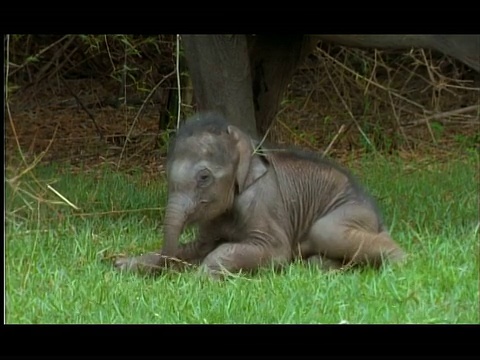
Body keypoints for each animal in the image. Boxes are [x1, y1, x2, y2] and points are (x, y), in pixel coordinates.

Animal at [115, 114, 404, 278]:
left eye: (204, 177)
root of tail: (378, 218)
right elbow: (199, 247)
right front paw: (124, 265)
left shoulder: (263, 201)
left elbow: (274, 251)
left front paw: (200, 277)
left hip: (353, 212)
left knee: (326, 231)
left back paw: (397, 263)